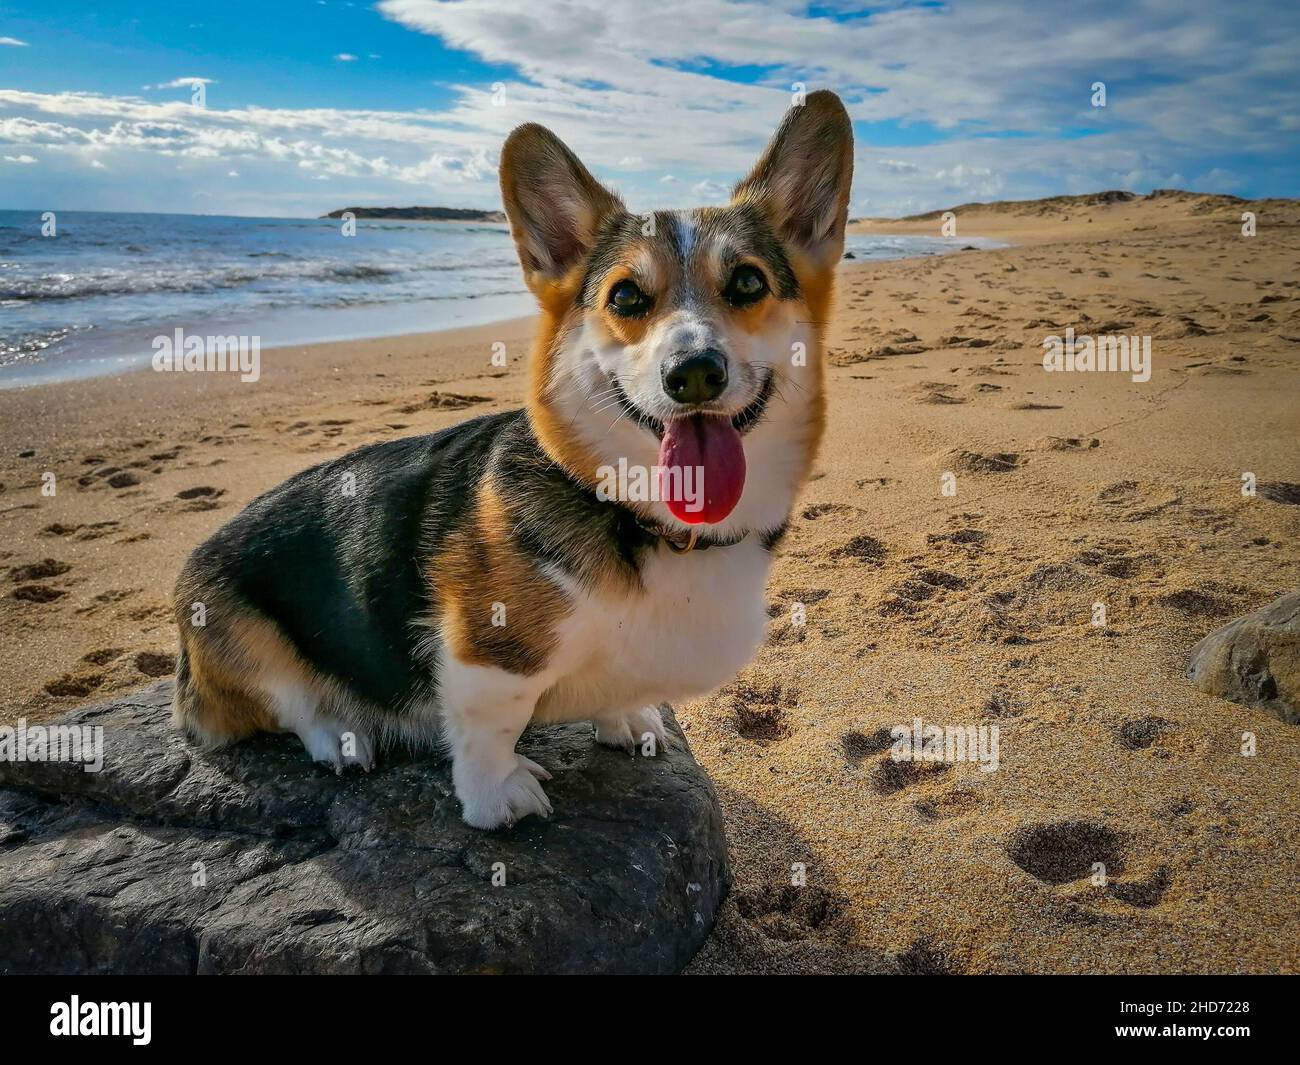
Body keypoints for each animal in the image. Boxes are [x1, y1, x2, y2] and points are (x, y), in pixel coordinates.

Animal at [172, 91, 857, 827]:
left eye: (748, 282)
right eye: (625, 296)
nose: (694, 372)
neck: (648, 523)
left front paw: (626, 720)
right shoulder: (488, 655)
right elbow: (490, 724)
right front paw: (498, 796)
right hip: (242, 636)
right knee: (289, 706)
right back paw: (340, 734)